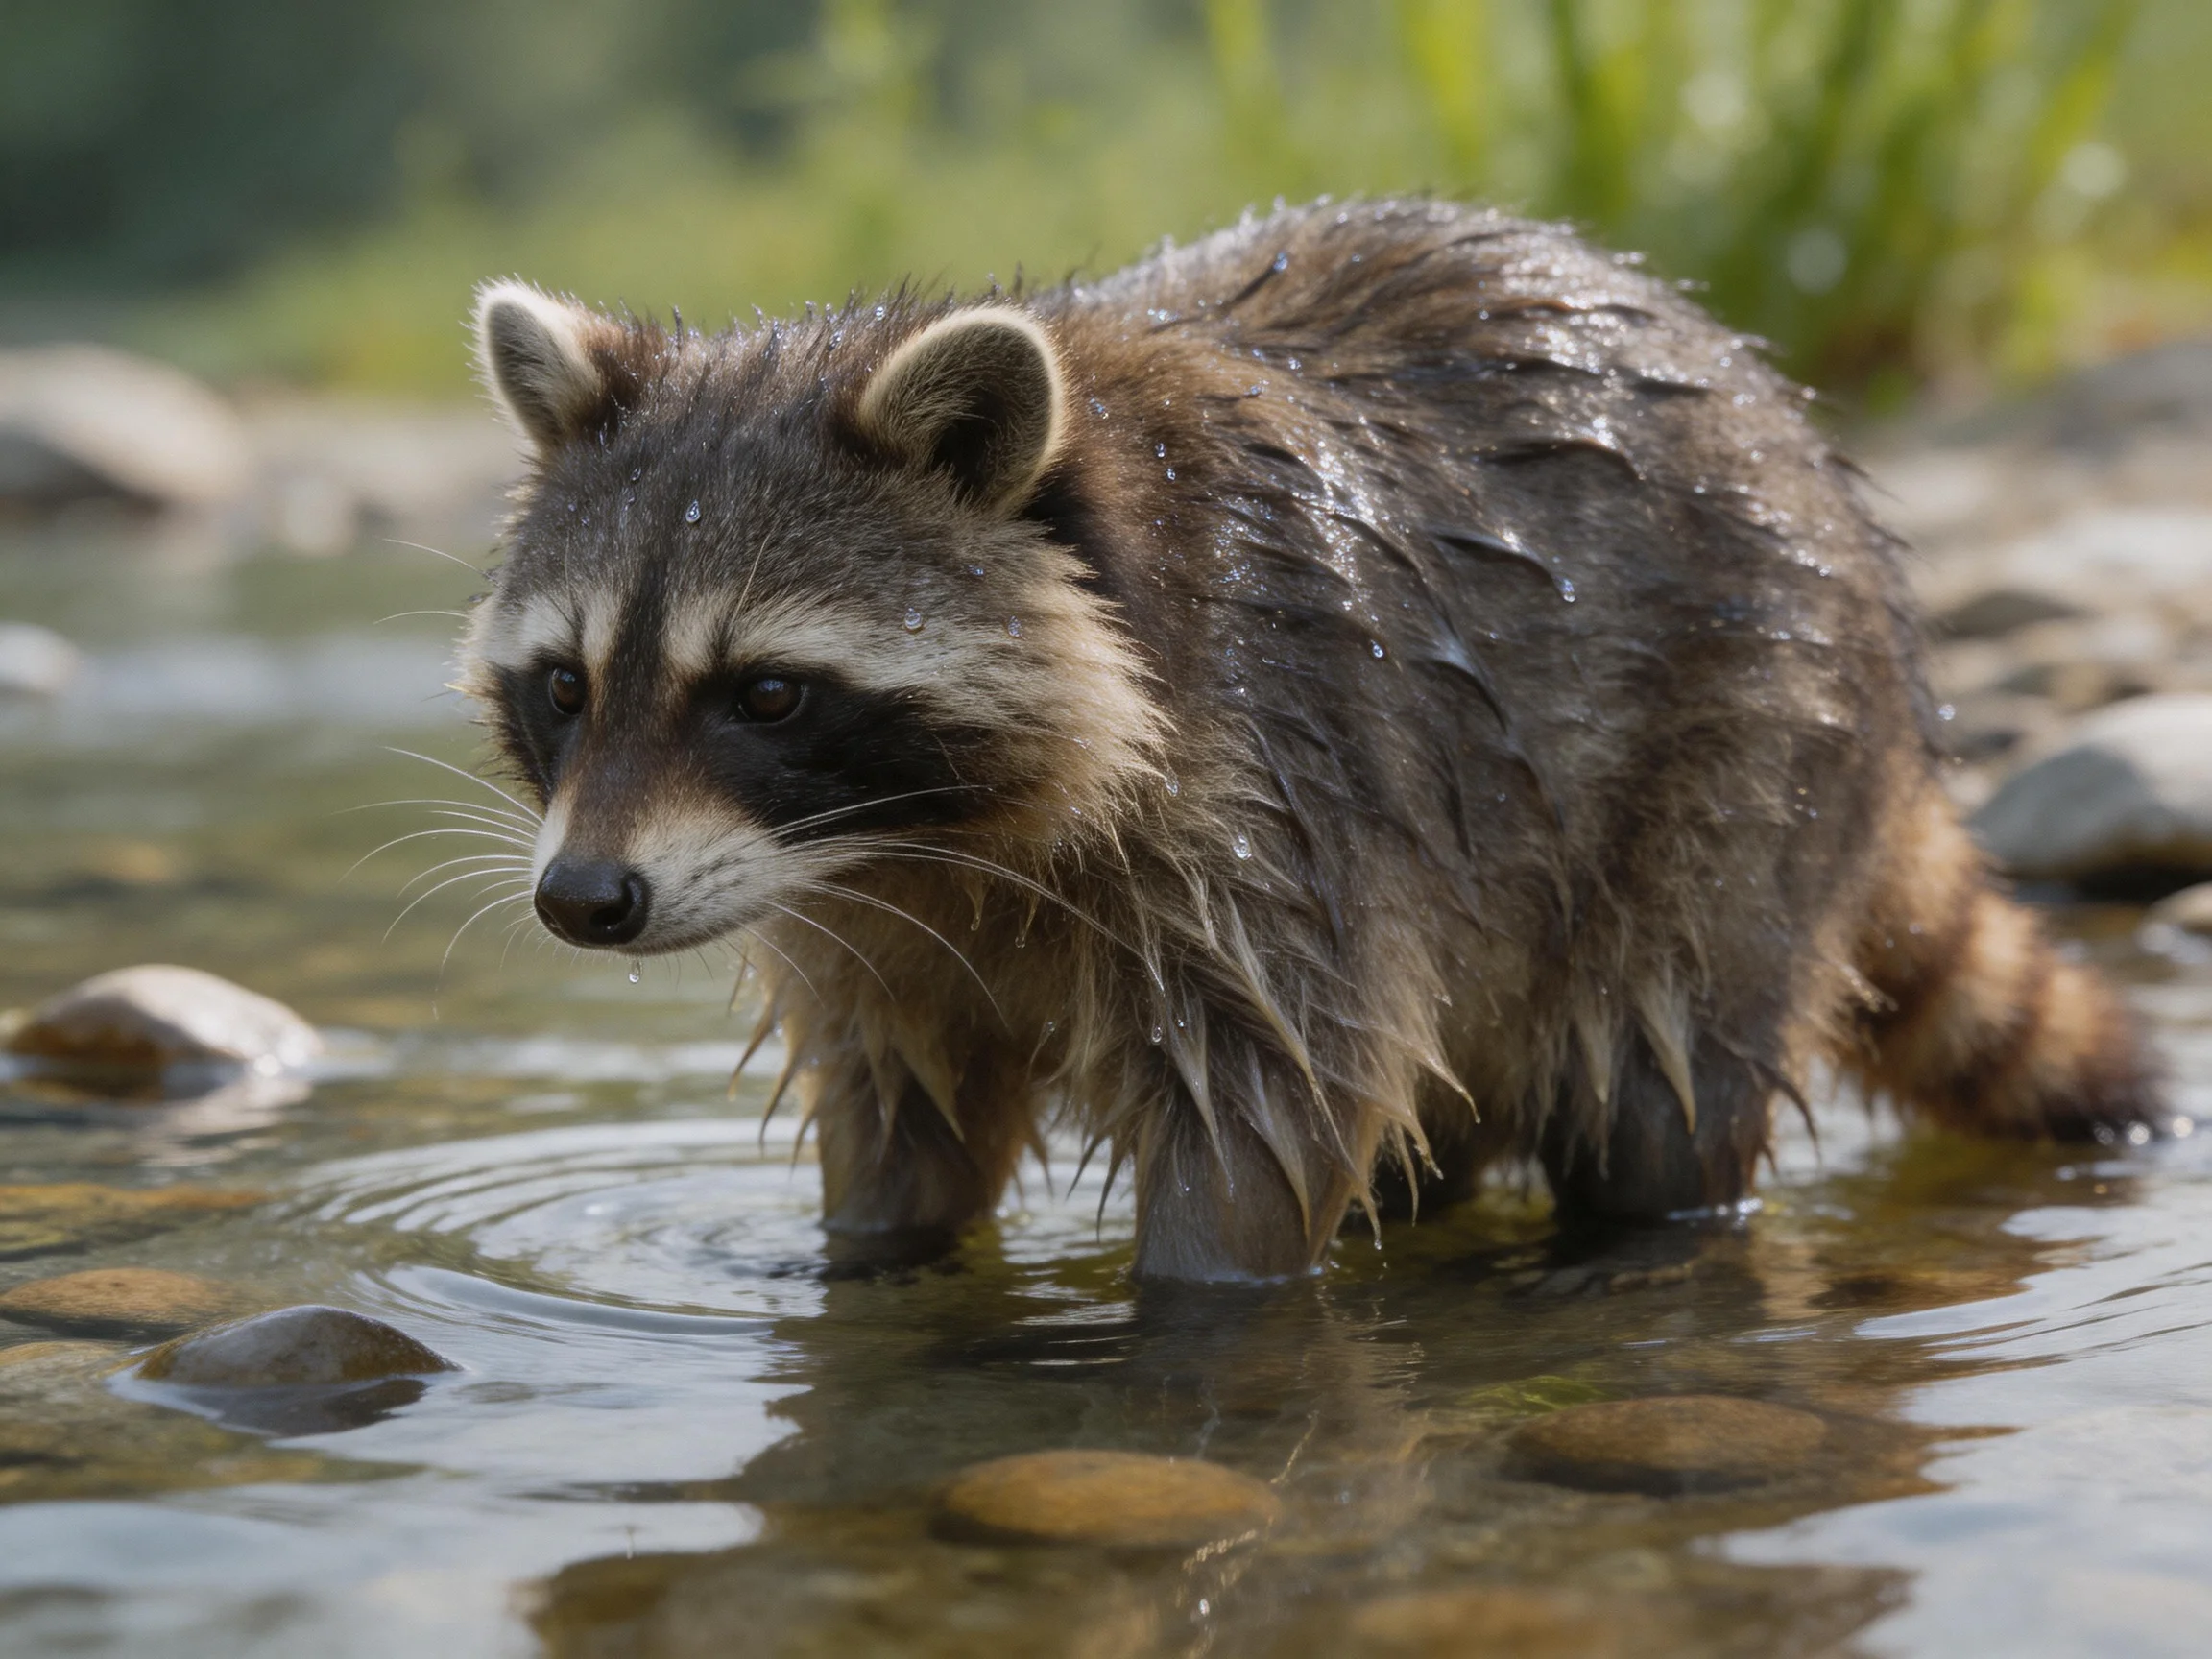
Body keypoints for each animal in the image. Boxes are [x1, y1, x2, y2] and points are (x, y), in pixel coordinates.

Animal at [457, 198, 2164, 1282]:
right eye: (566, 687)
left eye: (765, 694)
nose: (584, 901)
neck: (933, 840)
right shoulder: (866, 924)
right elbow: (902, 1117)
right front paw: (869, 1265)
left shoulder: (1283, 788)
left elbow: (1271, 1110)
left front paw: (1200, 1309)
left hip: (1745, 755)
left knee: (1658, 1056)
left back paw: (1642, 1240)